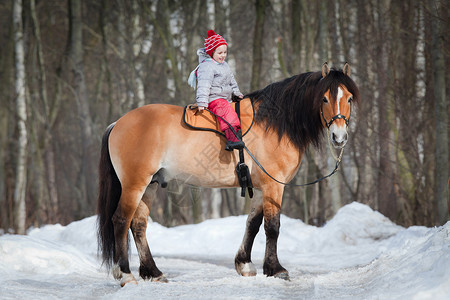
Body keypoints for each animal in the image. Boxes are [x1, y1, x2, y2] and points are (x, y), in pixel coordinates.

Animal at [97, 62, 358, 286]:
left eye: (349, 98)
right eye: (324, 98)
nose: (339, 137)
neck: (275, 123)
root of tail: (118, 123)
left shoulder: (262, 187)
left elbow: (253, 224)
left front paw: (245, 264)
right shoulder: (274, 185)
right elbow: (272, 227)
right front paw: (276, 269)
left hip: (149, 185)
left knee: (138, 225)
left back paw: (153, 272)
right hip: (134, 184)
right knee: (121, 221)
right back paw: (126, 274)